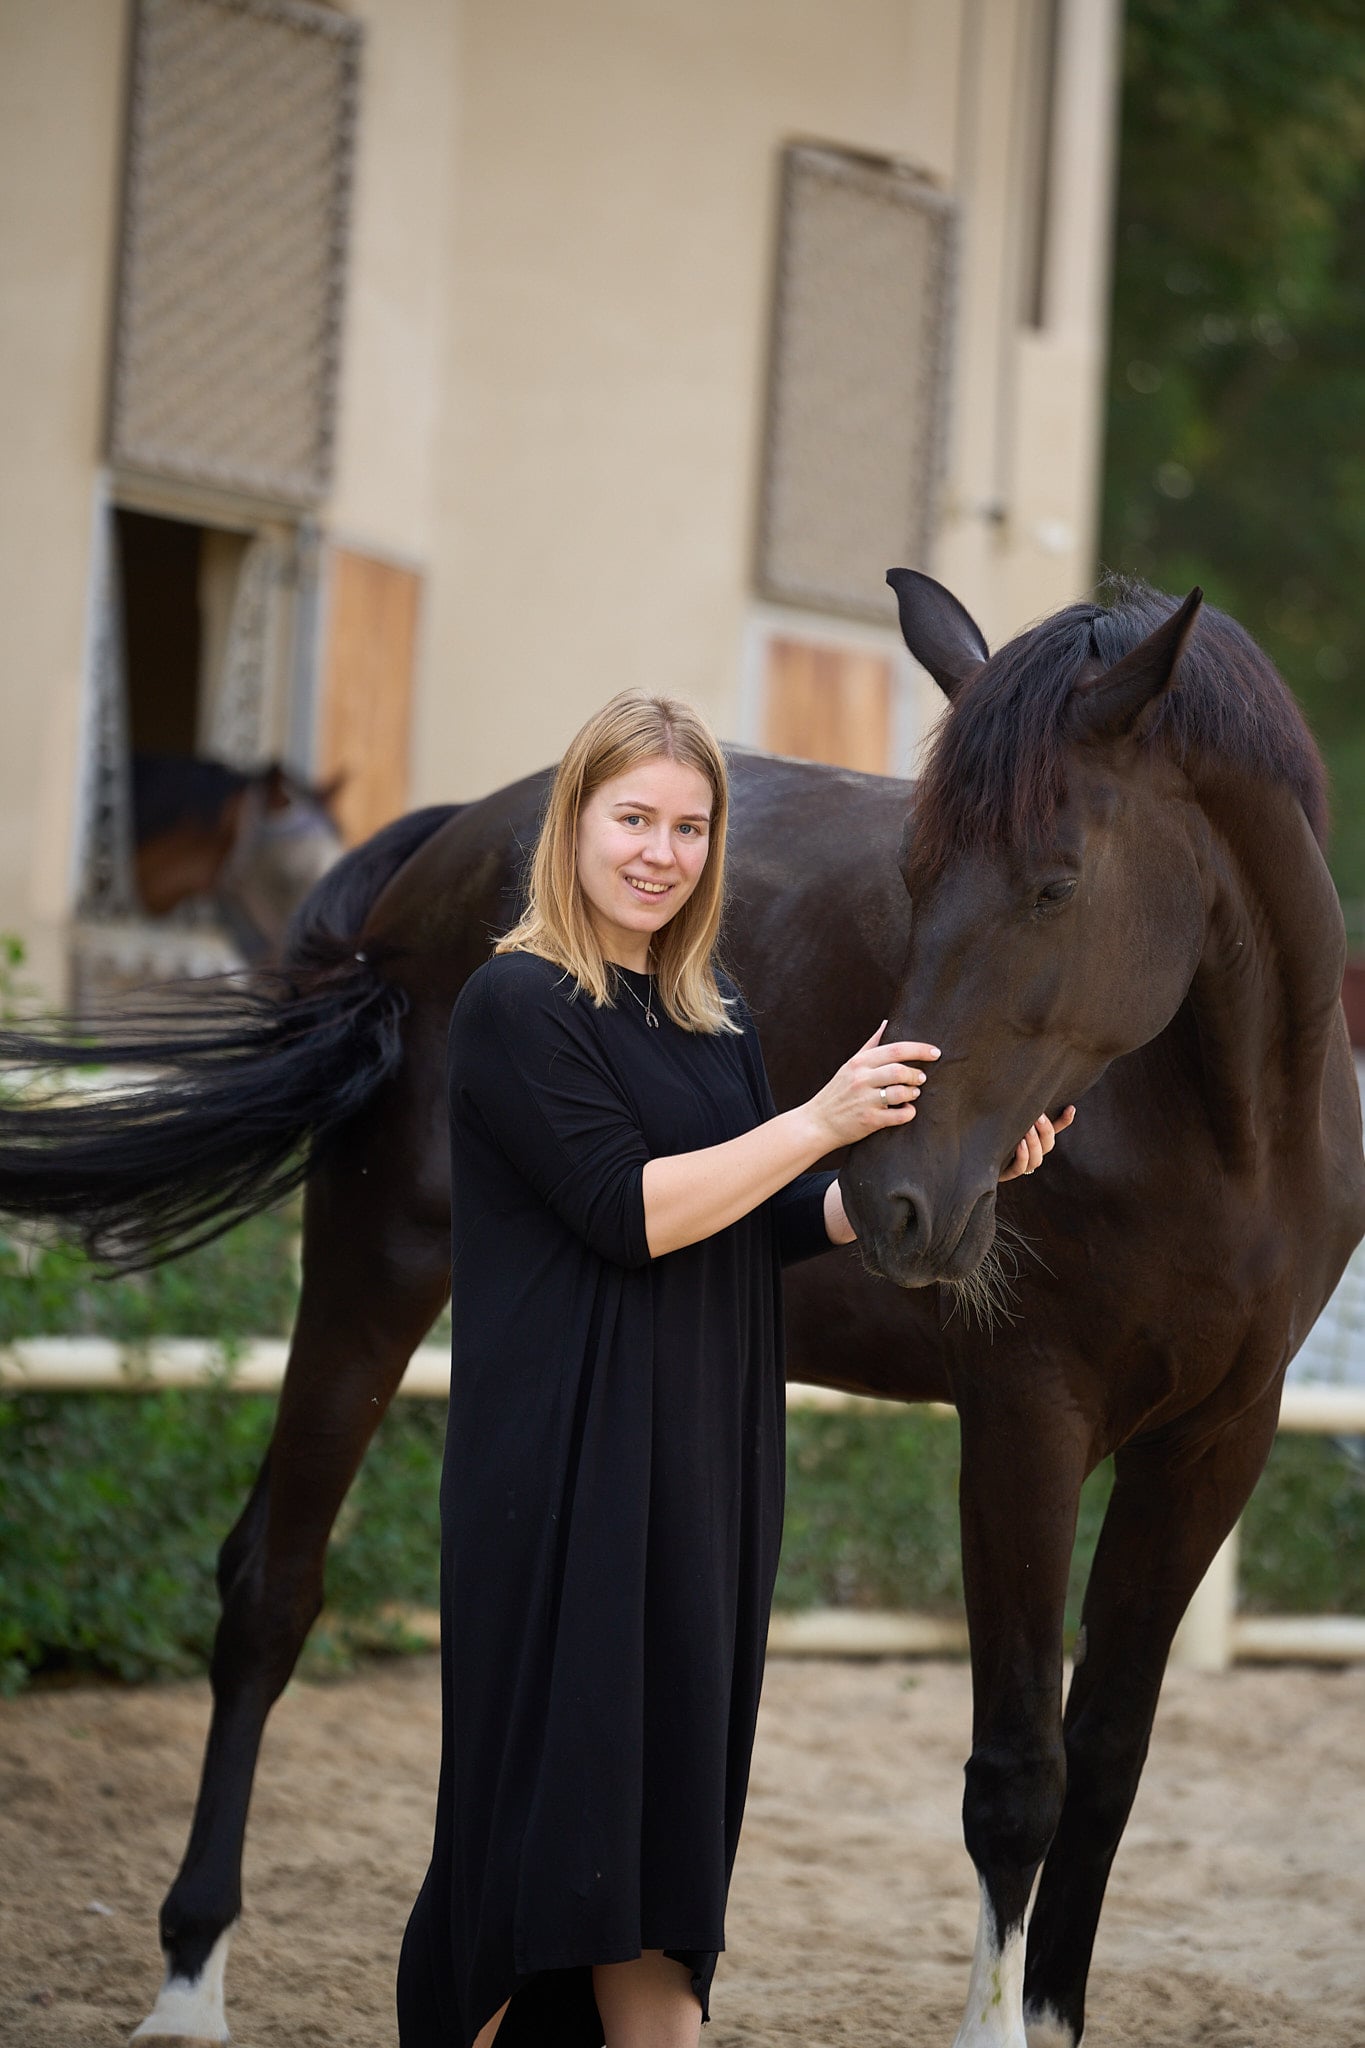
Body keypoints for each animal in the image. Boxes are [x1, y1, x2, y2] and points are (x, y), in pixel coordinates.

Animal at [1, 573, 1359, 2048]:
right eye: (917, 880)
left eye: (1055, 885)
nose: (890, 1199)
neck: (1232, 1135)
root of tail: (451, 844)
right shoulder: (1024, 1418)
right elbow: (1018, 1777)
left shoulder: (1215, 1442)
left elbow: (1109, 1757)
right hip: (374, 1271)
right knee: (271, 1587)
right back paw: (190, 1983)